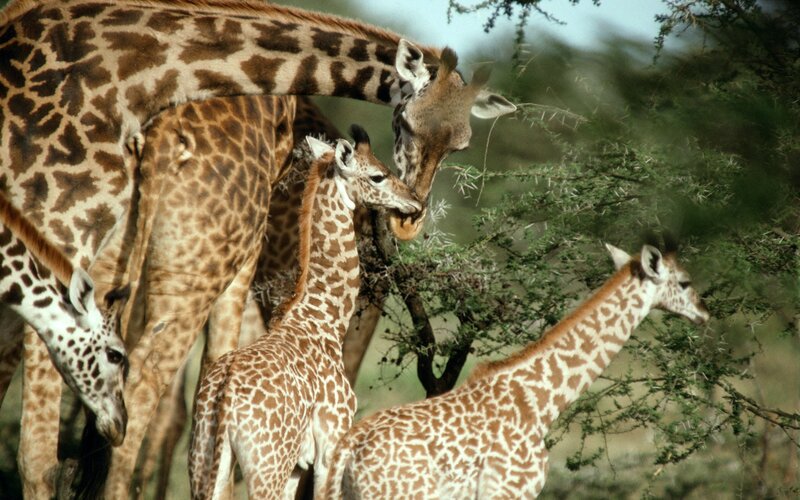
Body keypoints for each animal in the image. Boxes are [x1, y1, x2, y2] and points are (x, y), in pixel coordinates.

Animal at [189, 127, 422, 500]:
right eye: (377, 175)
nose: (415, 201)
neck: (324, 320)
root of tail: (222, 395)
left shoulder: (299, 465)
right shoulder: (329, 446)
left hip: (207, 462)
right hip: (266, 466)